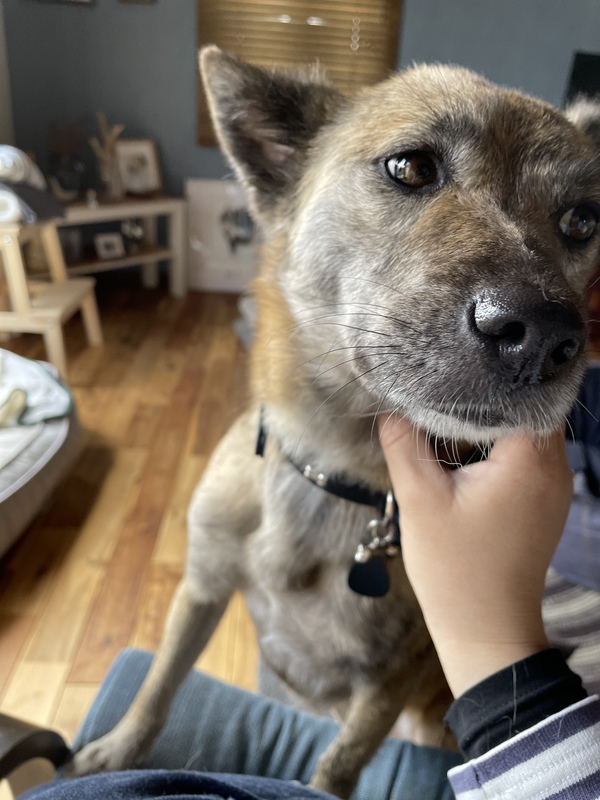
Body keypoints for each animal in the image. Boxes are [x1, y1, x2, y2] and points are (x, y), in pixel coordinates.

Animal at [69, 49, 600, 797]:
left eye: (582, 221)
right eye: (410, 167)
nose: (548, 338)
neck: (333, 473)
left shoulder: (388, 681)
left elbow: (338, 761)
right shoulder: (199, 590)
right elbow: (159, 683)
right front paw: (117, 748)